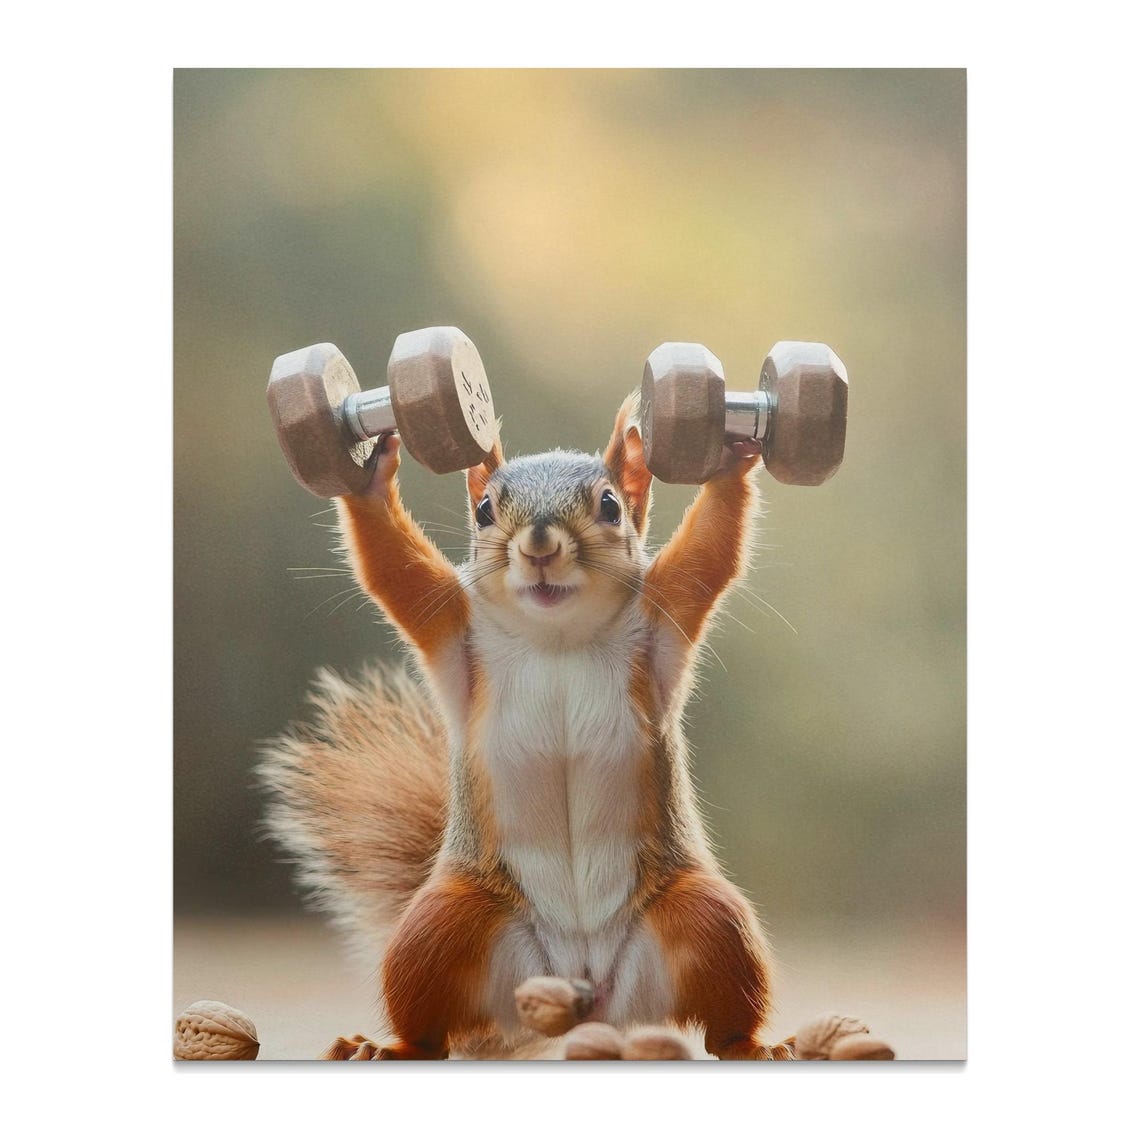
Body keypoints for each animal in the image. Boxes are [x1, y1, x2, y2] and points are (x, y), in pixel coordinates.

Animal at [260, 395, 796, 1060]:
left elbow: (709, 553)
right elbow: (396, 573)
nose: (539, 544)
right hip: (444, 929)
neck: (556, 633)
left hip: (706, 919)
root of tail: (585, 995)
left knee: (725, 1004)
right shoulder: (450, 623)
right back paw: (392, 1047)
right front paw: (368, 477)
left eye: (610, 504)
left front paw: (728, 459)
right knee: (430, 1012)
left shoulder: (665, 612)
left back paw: (753, 1045)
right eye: (485, 509)